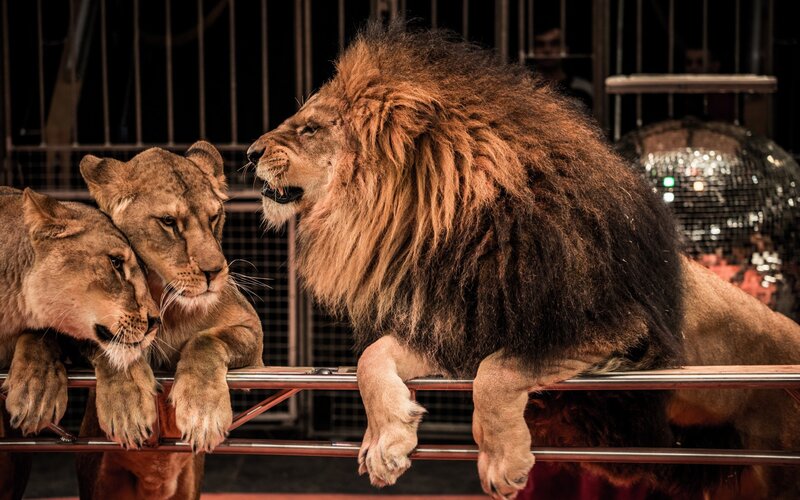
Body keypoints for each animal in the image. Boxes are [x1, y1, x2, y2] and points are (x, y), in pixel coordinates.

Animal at [28, 142, 263, 499]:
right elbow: (109, 344)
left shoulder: (253, 335)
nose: (215, 272)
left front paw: (203, 412)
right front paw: (127, 406)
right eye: (168, 221)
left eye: (214, 217)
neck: (165, 301)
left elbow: (206, 339)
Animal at [247, 24, 800, 499]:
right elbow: (372, 357)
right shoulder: (460, 328)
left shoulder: (613, 330)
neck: (454, 227)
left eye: (311, 128)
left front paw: (502, 461)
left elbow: (498, 372)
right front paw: (386, 441)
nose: (250, 153)